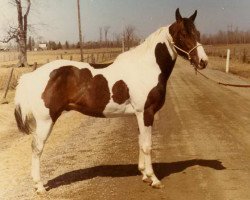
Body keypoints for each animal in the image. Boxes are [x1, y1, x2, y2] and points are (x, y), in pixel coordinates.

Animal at [14, 8, 208, 193]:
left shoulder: (138, 114)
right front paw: (154, 179)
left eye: (197, 32)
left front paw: (144, 175)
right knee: (37, 148)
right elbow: (147, 145)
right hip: (45, 120)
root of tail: (32, 76)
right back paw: (39, 186)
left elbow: (140, 142)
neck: (147, 68)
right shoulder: (146, 112)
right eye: (183, 34)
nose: (203, 61)